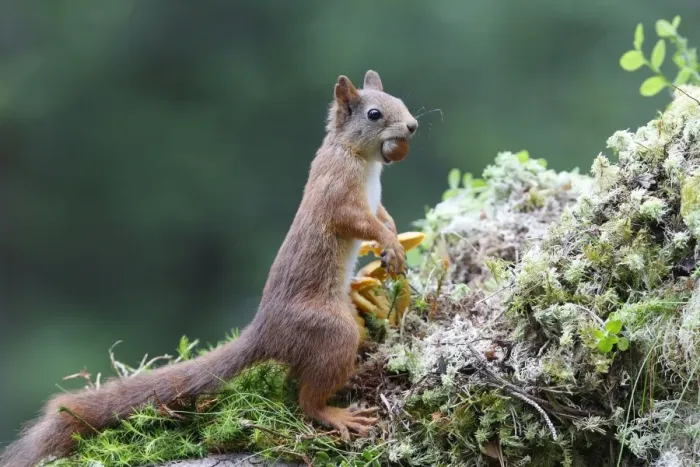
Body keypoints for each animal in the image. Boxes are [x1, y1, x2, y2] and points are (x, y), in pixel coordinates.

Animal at [0, 70, 418, 467]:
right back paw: (336, 415)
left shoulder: (373, 201)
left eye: (400, 100)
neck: (360, 159)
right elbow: (359, 221)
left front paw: (393, 242)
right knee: (307, 400)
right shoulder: (337, 194)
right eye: (374, 114)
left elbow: (383, 217)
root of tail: (266, 331)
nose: (413, 126)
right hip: (332, 330)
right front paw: (389, 243)